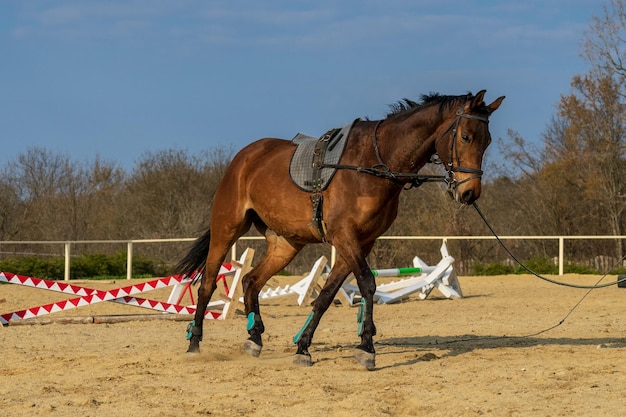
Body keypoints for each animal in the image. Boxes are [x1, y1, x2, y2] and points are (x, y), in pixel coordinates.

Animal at [174, 89, 502, 368]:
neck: (375, 165)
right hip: (226, 229)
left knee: (252, 281)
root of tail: (244, 157)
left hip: (286, 244)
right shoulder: (345, 237)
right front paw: (366, 348)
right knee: (207, 284)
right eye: (466, 136)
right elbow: (367, 284)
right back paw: (194, 342)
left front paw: (303, 347)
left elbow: (326, 295)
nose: (469, 193)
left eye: (486, 141)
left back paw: (254, 338)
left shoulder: (361, 242)